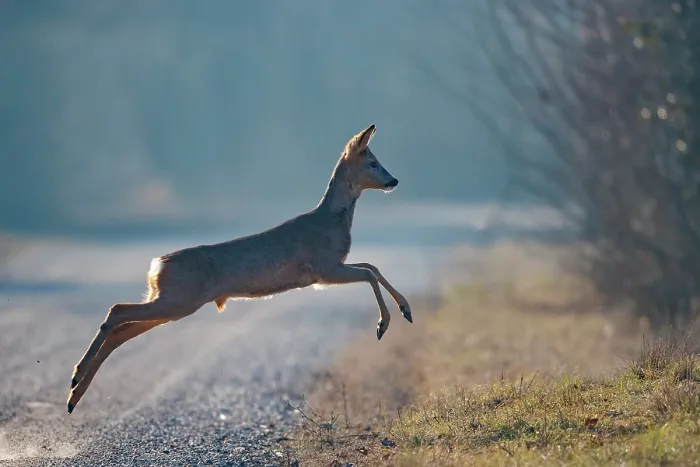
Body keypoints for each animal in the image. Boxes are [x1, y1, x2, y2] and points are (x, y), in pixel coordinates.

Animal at [67, 124, 413, 414]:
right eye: (373, 163)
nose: (393, 180)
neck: (333, 220)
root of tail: (157, 265)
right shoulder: (322, 268)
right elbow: (368, 271)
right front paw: (383, 324)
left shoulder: (330, 267)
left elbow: (371, 265)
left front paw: (405, 310)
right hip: (179, 299)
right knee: (117, 311)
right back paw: (75, 380)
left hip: (173, 301)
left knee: (121, 329)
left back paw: (74, 395)